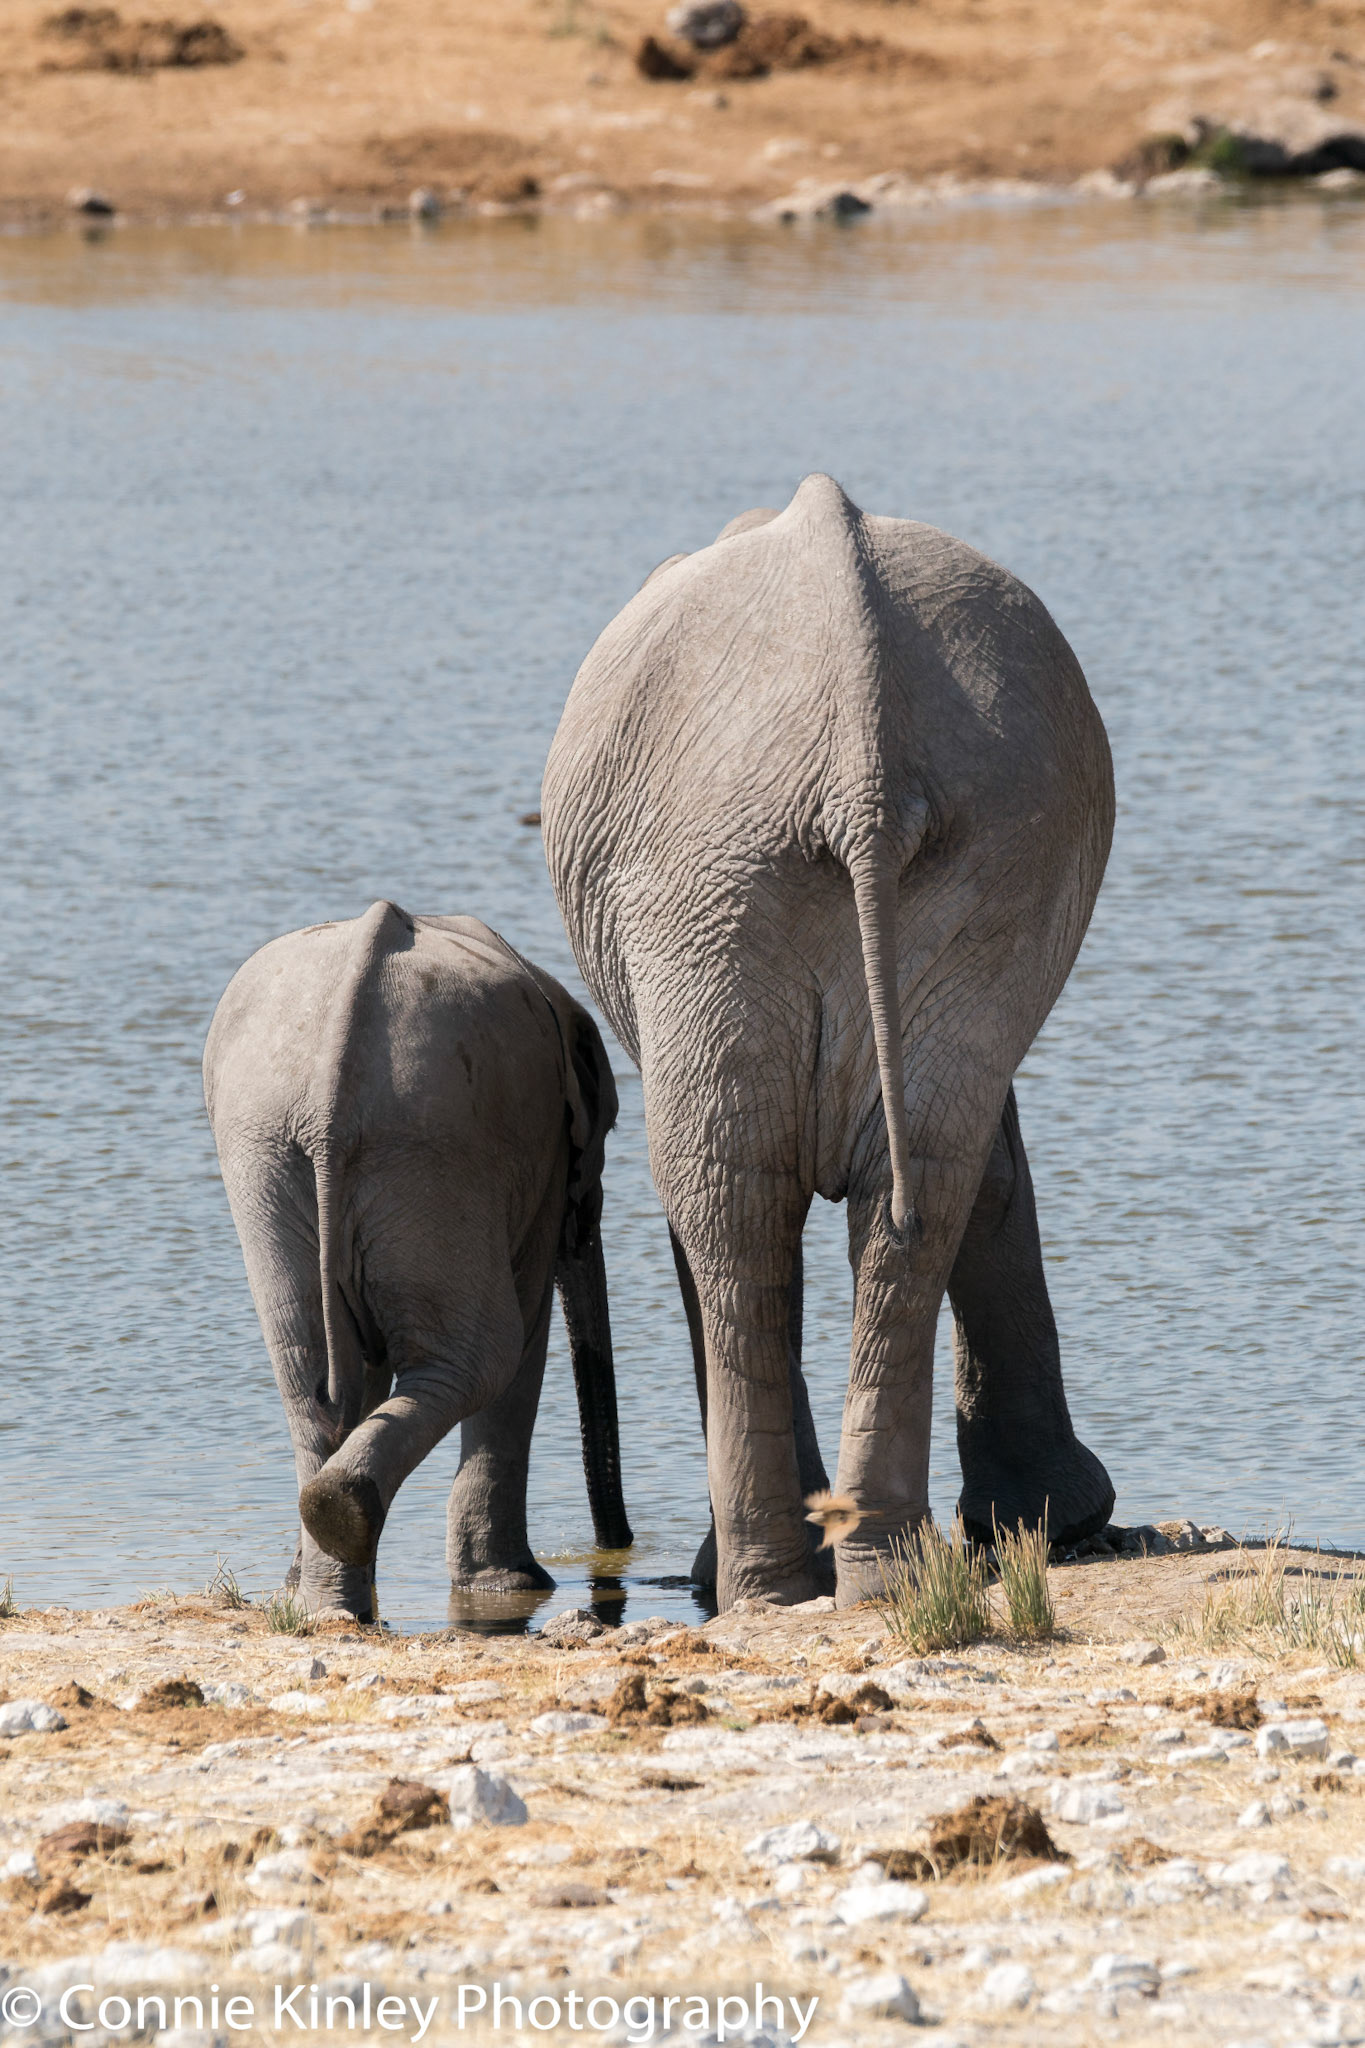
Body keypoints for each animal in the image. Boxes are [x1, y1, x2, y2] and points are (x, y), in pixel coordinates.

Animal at [203, 899, 630, 1622]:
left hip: (273, 1158)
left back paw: (326, 1596)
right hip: (431, 1150)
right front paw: (512, 1586)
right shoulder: (541, 1161)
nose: (616, 1551)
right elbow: (526, 1333)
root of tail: (328, 1100)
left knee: (312, 1377)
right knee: (483, 1355)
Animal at [542, 473, 1115, 1612]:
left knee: (738, 1199)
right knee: (883, 1180)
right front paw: (1050, 1522)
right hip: (895, 863)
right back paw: (856, 1577)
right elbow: (982, 1165)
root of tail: (860, 767)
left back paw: (778, 1584)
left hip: (713, 874)